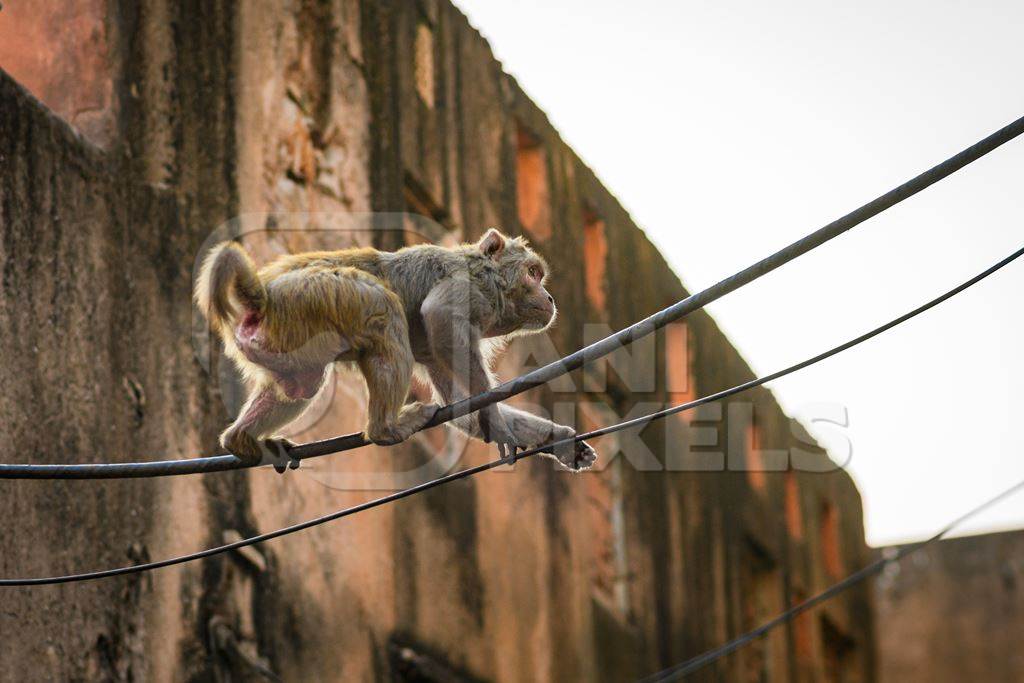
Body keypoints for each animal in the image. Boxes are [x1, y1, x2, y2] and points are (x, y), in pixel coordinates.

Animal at [193, 229, 598, 475]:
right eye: (532, 273)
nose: (549, 297)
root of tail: (261, 295)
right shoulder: (470, 286)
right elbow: (438, 313)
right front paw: (495, 420)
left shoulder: (434, 352)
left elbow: (460, 408)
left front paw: (560, 440)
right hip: (312, 297)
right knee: (383, 310)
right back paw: (385, 428)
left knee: (302, 385)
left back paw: (241, 440)